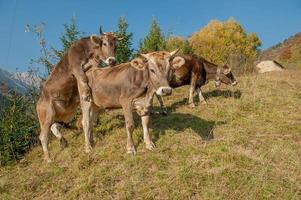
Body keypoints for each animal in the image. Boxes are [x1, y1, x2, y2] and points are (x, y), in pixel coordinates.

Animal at [36, 49, 184, 162]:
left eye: (170, 69)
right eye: (152, 70)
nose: (166, 90)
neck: (145, 90)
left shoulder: (146, 103)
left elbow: (146, 123)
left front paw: (149, 144)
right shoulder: (125, 102)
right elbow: (130, 125)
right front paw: (130, 148)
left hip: (95, 105)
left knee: (90, 122)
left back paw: (92, 141)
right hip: (85, 101)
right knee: (84, 123)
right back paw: (86, 148)